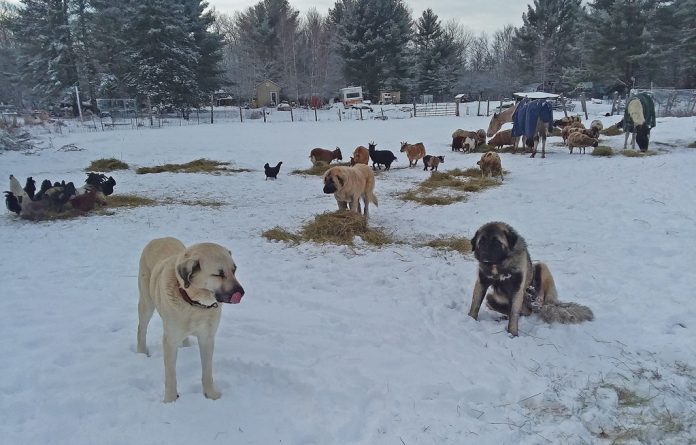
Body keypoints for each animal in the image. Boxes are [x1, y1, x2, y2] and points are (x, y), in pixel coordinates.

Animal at [137, 239, 245, 402]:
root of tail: (158, 238)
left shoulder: (207, 338)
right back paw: (141, 353)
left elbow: (207, 371)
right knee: (141, 329)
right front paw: (170, 400)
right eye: (218, 274)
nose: (242, 293)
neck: (195, 304)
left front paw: (210, 394)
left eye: (234, 270)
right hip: (146, 303)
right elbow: (171, 375)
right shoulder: (170, 340)